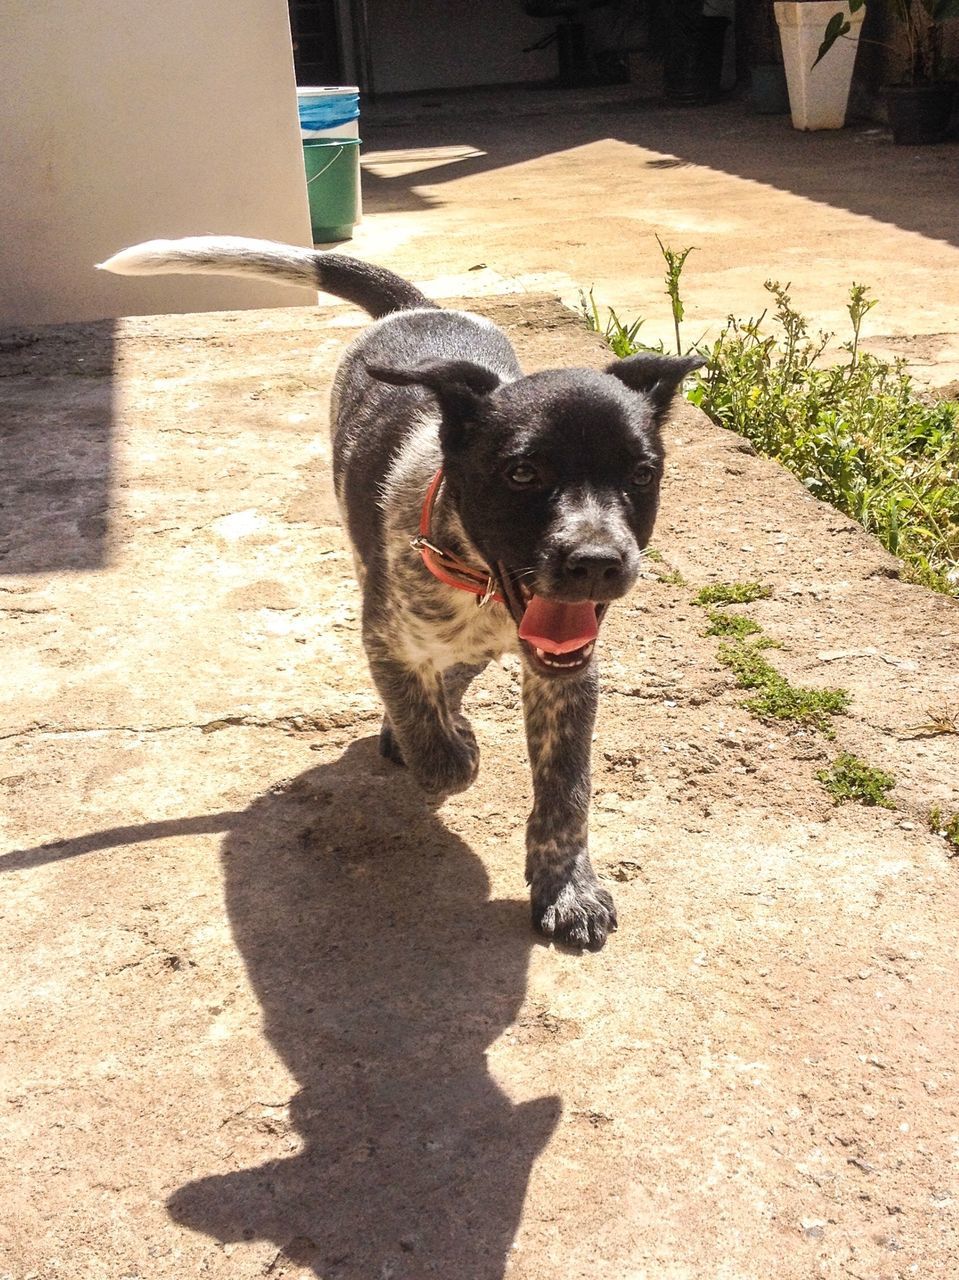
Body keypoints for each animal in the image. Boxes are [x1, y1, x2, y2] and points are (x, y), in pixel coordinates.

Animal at [101, 238, 701, 952]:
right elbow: (434, 745)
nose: (597, 564)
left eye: (642, 472)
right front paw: (447, 748)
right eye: (522, 473)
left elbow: (567, 788)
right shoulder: (386, 636)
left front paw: (567, 886)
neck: (480, 585)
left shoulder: (568, 675)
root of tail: (416, 308)